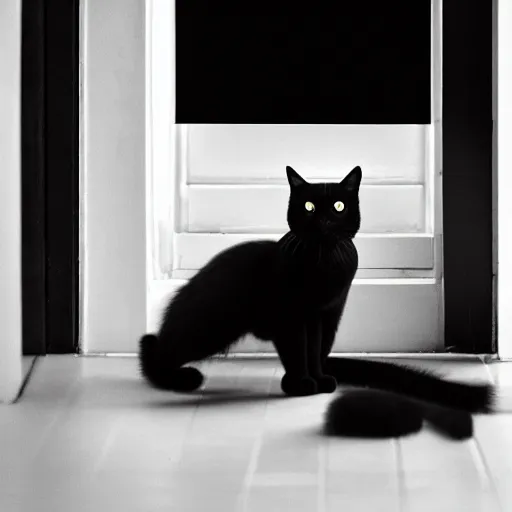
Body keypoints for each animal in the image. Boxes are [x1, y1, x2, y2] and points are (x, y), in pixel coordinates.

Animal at [139, 168, 492, 420]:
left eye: (339, 206)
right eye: (308, 206)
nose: (323, 219)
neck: (323, 264)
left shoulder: (328, 313)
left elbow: (318, 348)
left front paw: (319, 380)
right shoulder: (291, 316)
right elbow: (298, 350)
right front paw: (300, 384)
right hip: (210, 326)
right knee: (158, 351)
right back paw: (175, 377)